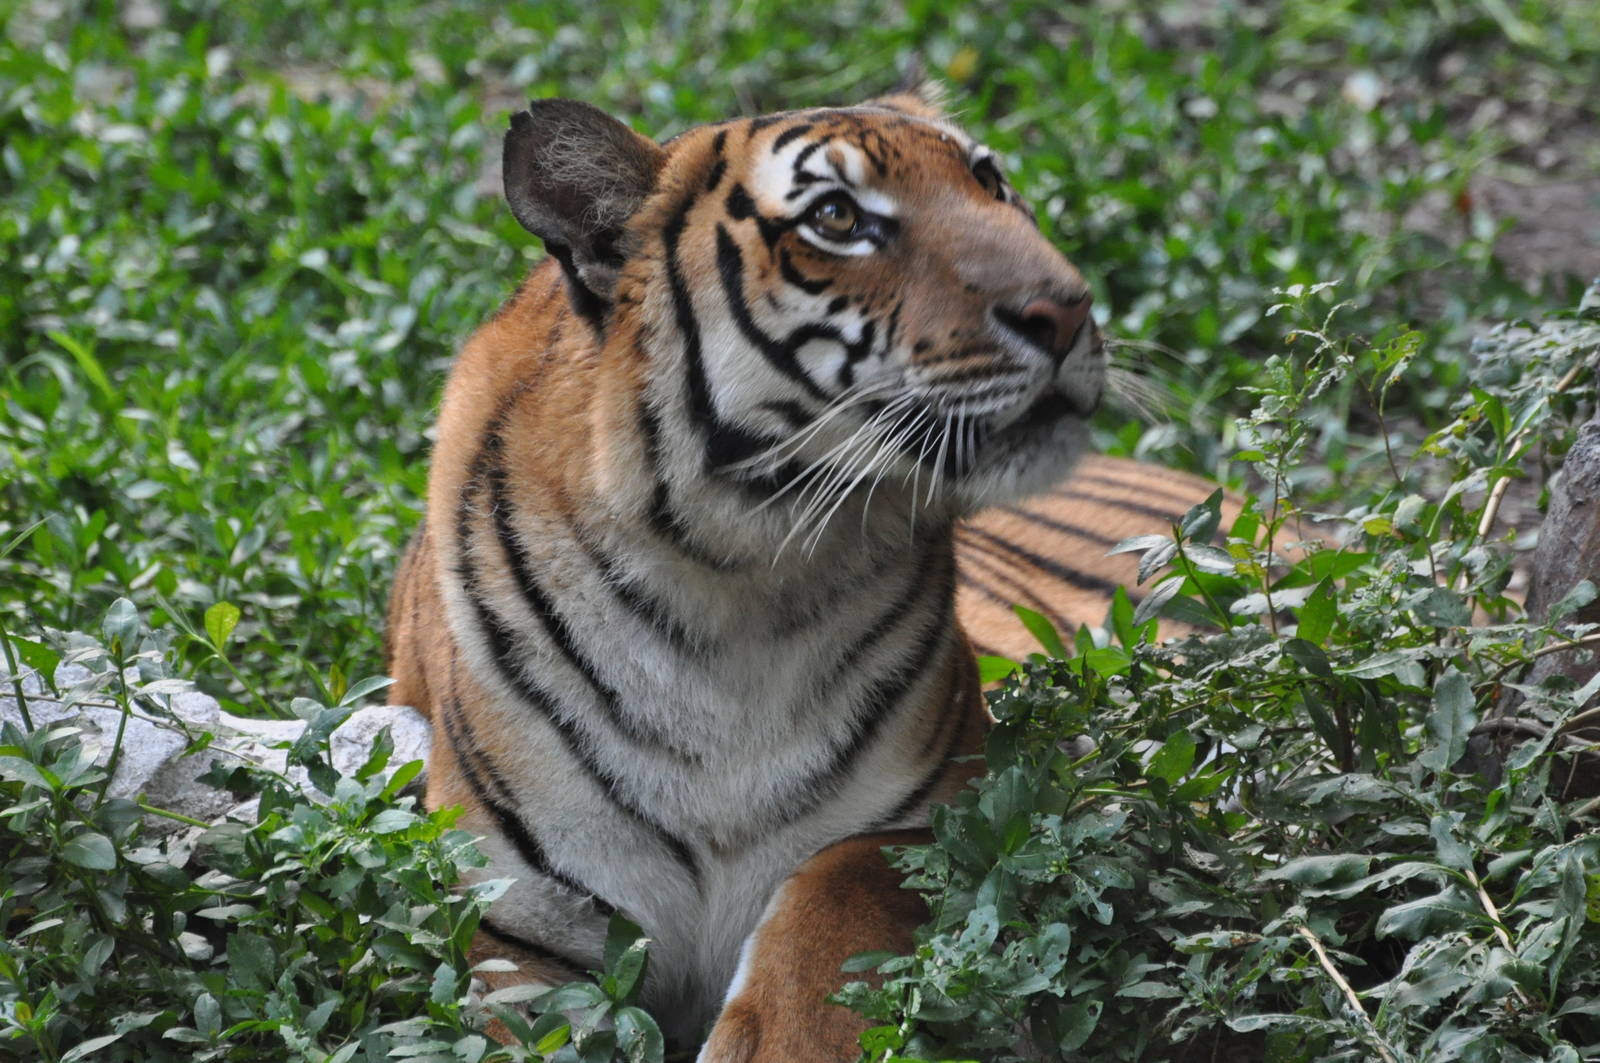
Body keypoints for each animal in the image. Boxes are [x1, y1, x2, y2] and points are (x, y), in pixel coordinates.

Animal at [384, 84, 1222, 1060]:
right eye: (838, 218)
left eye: (990, 182)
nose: (1070, 308)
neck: (734, 585)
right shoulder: (512, 912)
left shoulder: (951, 812)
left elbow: (837, 893)